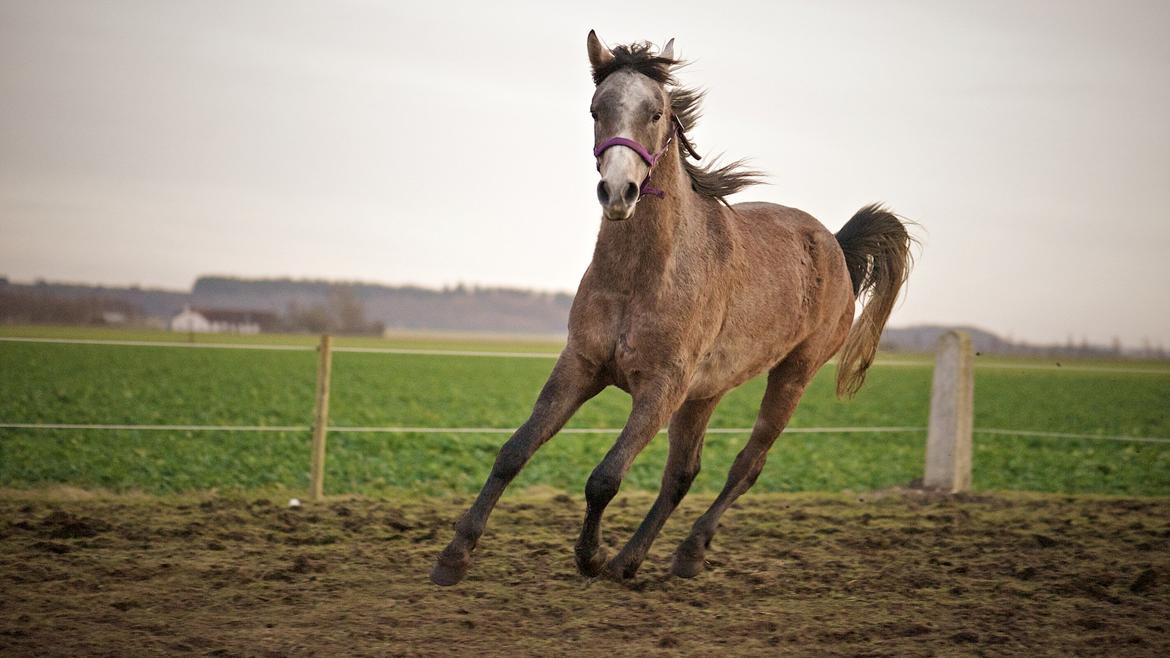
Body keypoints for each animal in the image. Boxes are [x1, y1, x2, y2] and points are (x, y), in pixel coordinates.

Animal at [430, 32, 912, 583]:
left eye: (656, 111)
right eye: (596, 109)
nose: (618, 192)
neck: (641, 278)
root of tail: (835, 245)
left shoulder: (659, 388)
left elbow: (605, 477)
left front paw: (590, 557)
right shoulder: (581, 366)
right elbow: (514, 451)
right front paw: (454, 556)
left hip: (792, 375)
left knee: (746, 465)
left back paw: (685, 552)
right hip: (705, 392)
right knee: (683, 473)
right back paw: (632, 560)